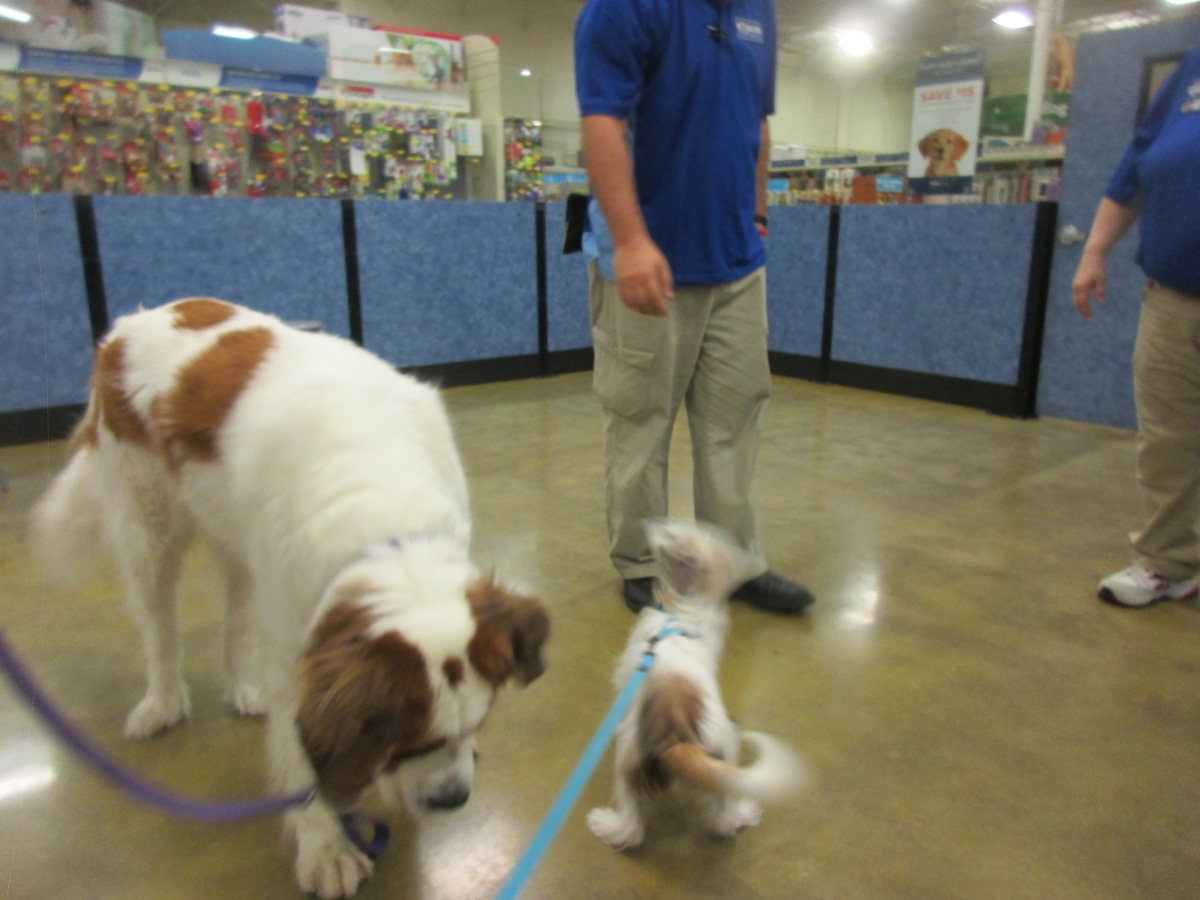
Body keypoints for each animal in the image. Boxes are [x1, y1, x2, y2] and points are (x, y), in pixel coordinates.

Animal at [31, 298, 550, 899]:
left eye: (477, 724)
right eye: (407, 743)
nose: (453, 798)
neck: (385, 534)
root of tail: (130, 324)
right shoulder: (296, 644)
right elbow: (302, 755)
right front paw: (325, 846)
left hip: (240, 544)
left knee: (236, 616)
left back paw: (243, 686)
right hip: (148, 527)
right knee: (159, 623)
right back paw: (162, 700)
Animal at [586, 520, 801, 850]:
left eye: (672, 533)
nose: (648, 524)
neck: (683, 610)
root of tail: (681, 739)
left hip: (627, 757)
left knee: (632, 828)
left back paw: (605, 823)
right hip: (722, 768)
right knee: (723, 819)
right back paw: (743, 813)